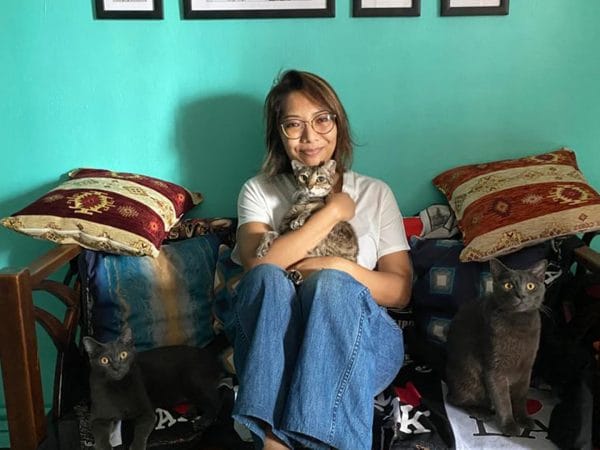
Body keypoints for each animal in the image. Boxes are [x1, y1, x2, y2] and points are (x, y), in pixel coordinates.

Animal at [83, 328, 223, 450]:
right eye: (104, 360)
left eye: (123, 354)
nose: (117, 367)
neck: (119, 386)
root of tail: (206, 352)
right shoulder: (97, 418)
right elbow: (100, 436)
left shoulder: (147, 412)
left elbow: (140, 432)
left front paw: (136, 447)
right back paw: (191, 412)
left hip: (194, 381)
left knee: (215, 402)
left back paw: (202, 421)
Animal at [445, 258, 547, 436]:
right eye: (508, 285)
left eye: (530, 286)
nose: (521, 295)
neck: (519, 325)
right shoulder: (495, 369)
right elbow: (503, 400)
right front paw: (510, 426)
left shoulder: (526, 369)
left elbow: (521, 397)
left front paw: (524, 419)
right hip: (470, 377)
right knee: (454, 399)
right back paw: (482, 412)